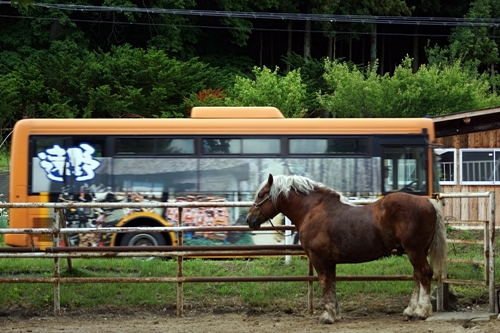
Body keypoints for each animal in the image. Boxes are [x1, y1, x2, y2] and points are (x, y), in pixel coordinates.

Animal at [246, 172, 446, 322]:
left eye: (261, 195)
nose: (249, 219)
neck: (312, 209)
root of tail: (428, 202)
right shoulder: (329, 261)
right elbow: (332, 283)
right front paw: (335, 313)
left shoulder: (319, 259)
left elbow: (325, 283)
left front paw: (327, 315)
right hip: (418, 251)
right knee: (417, 276)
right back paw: (410, 310)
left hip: (415, 251)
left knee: (424, 274)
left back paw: (421, 311)